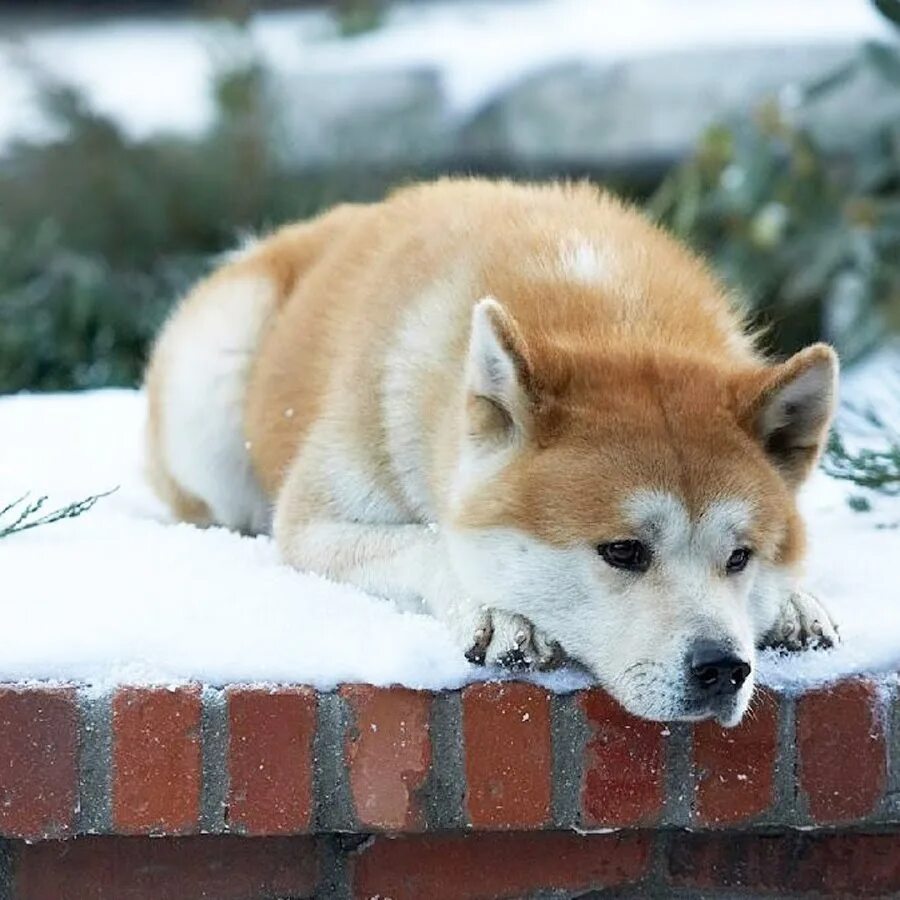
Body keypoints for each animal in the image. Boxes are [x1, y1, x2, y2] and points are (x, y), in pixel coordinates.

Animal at [144, 176, 840, 724]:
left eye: (740, 557)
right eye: (623, 551)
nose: (724, 668)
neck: (608, 317)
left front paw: (793, 604)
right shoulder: (312, 524)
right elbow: (427, 542)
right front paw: (499, 612)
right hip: (214, 383)